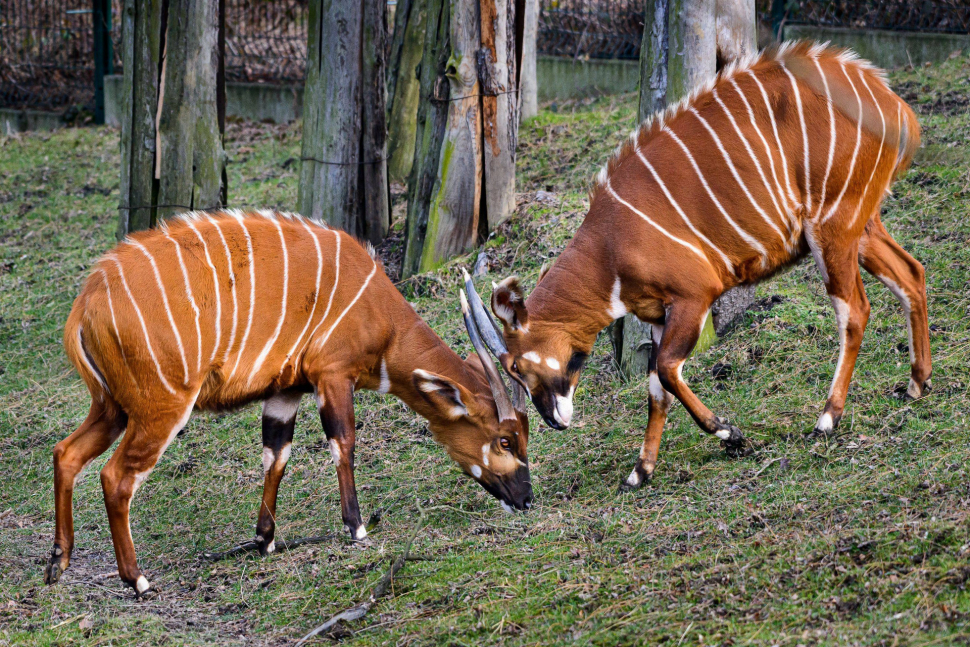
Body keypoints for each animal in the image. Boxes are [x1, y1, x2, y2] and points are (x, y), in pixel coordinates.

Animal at [47, 209, 528, 596]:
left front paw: (266, 540)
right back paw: (138, 580)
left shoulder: (286, 390)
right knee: (115, 477)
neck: (382, 316)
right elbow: (343, 443)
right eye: (506, 440)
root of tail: (85, 304)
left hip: (111, 408)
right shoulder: (332, 374)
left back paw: (58, 563)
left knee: (66, 453)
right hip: (160, 408)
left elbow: (276, 455)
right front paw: (357, 528)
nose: (526, 498)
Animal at [468, 43, 932, 488]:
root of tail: (896, 105)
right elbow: (656, 388)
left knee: (855, 309)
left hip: (833, 226)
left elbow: (669, 370)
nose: (554, 420)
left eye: (515, 366)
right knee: (912, 273)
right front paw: (640, 472)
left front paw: (731, 435)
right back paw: (917, 383)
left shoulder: (693, 296)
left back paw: (827, 418)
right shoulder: (657, 316)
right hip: (861, 226)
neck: (609, 247)